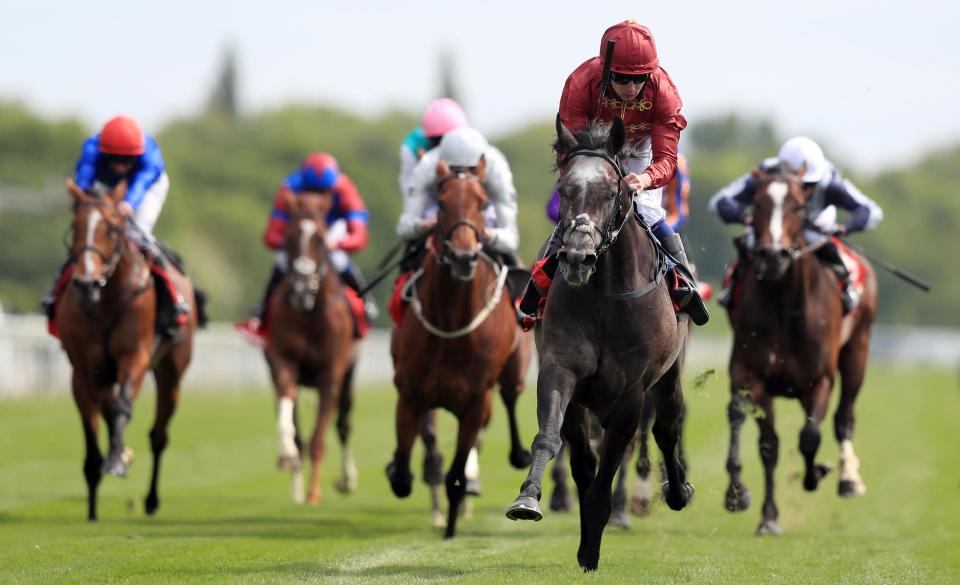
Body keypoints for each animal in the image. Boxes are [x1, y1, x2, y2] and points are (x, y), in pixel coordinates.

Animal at [56, 179, 199, 520]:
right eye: (75, 226)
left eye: (111, 228)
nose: (86, 284)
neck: (106, 302)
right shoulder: (82, 369)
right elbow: (93, 423)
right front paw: (93, 504)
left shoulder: (135, 355)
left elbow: (122, 407)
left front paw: (117, 462)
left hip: (171, 371)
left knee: (159, 435)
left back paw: (150, 499)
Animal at [264, 190, 358, 502]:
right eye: (289, 236)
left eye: (320, 237)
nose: (301, 288)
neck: (308, 312)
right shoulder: (282, 362)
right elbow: (289, 411)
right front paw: (287, 456)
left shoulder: (330, 374)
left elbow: (319, 439)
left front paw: (314, 494)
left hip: (349, 372)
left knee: (343, 424)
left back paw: (347, 479)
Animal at [388, 157, 524, 536]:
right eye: (443, 203)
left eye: (482, 202)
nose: (463, 256)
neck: (451, 323)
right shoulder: (410, 393)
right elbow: (406, 469)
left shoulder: (476, 402)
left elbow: (456, 474)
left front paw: (450, 527)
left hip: (512, 373)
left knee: (510, 398)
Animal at [506, 118, 692, 572]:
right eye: (564, 190)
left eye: (611, 192)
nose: (578, 257)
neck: (606, 294)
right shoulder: (562, 372)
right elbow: (556, 442)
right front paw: (529, 499)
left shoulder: (631, 393)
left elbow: (610, 464)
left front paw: (592, 546)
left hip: (669, 377)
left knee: (667, 426)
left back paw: (678, 492)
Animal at [728, 167, 876, 532]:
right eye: (757, 203)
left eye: (798, 206)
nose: (772, 256)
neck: (786, 307)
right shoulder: (754, 375)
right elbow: (768, 444)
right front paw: (761, 511)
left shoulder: (819, 379)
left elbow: (809, 436)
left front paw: (815, 475)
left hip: (858, 350)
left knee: (843, 418)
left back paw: (848, 479)